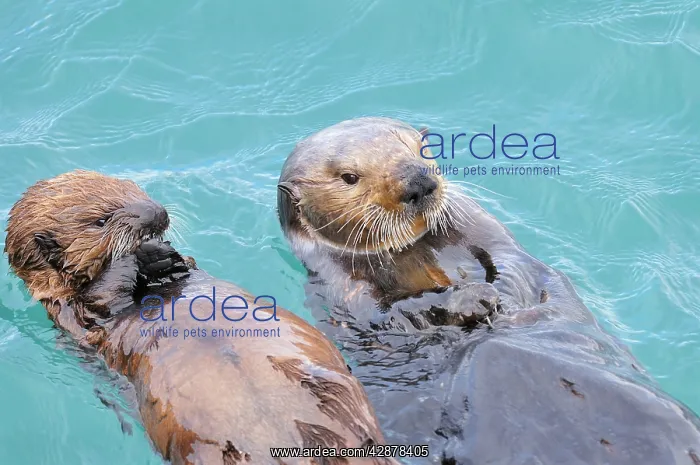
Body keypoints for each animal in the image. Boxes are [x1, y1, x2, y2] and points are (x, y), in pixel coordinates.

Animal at [5, 170, 399, 465]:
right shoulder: (76, 316)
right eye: (100, 221)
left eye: (133, 187)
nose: (157, 213)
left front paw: (160, 253)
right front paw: (138, 258)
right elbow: (104, 298)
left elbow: (184, 266)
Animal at [276, 117, 700, 464]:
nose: (418, 181)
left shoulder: (475, 220)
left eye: (418, 149)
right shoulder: (341, 285)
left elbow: (511, 261)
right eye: (349, 177)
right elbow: (390, 320)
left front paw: (494, 295)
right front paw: (470, 300)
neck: (409, 249)